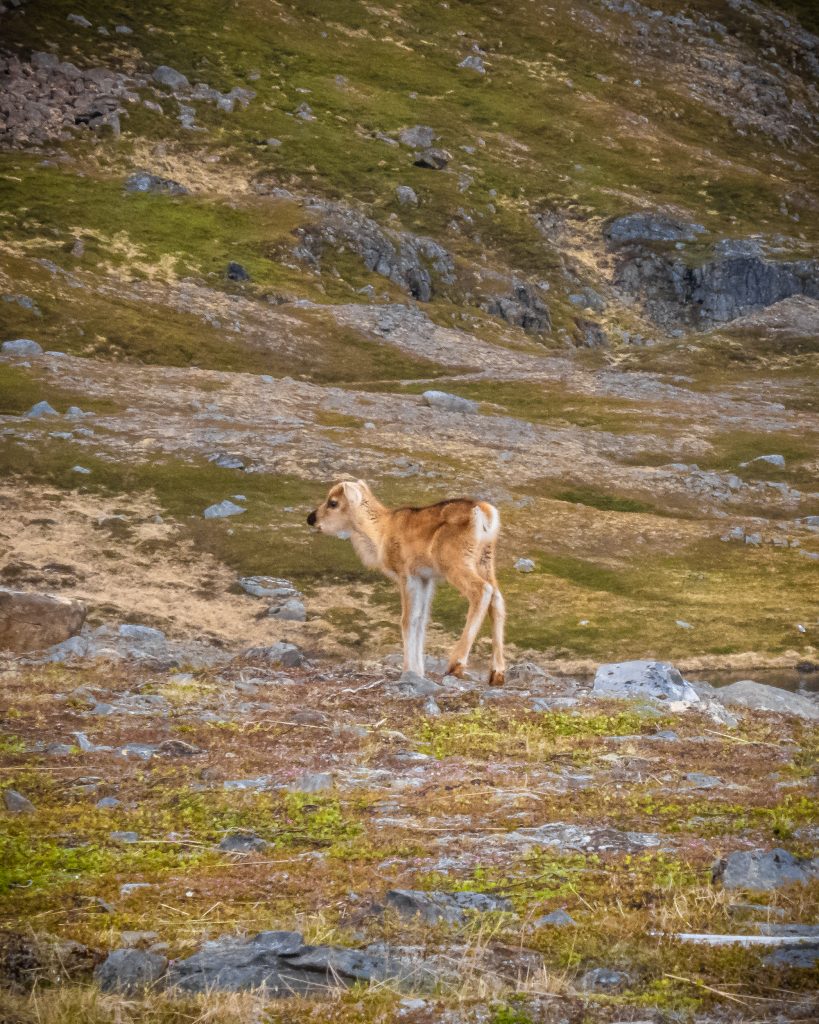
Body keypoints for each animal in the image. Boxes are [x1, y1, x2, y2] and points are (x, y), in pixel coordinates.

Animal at [307, 480, 505, 684]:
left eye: (333, 502)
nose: (311, 518)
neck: (380, 534)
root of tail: (485, 514)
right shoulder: (426, 578)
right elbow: (421, 618)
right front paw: (419, 671)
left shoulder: (407, 575)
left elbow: (407, 619)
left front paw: (409, 670)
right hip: (485, 561)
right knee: (497, 599)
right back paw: (497, 673)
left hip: (455, 563)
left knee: (482, 591)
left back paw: (456, 664)